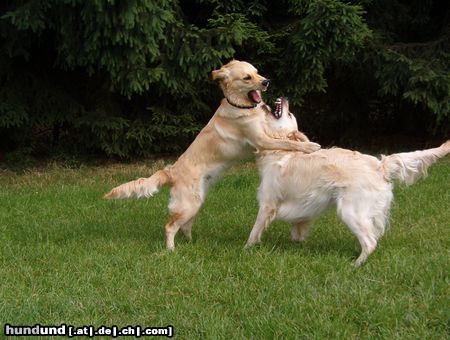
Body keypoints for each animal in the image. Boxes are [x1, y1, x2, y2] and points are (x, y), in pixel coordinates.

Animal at [104, 60, 320, 250]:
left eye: (257, 72)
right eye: (247, 77)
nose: (266, 81)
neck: (241, 106)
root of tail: (170, 171)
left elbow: (286, 136)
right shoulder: (261, 140)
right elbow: (286, 141)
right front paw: (311, 146)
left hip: (196, 202)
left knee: (184, 226)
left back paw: (192, 243)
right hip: (189, 204)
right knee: (170, 226)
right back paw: (171, 249)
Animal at [248, 97, 448, 266]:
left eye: (289, 114)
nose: (285, 98)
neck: (281, 150)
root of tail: (379, 165)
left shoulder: (267, 204)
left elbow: (254, 231)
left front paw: (247, 249)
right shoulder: (302, 209)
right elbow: (298, 230)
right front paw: (297, 245)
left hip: (350, 212)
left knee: (370, 242)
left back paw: (355, 265)